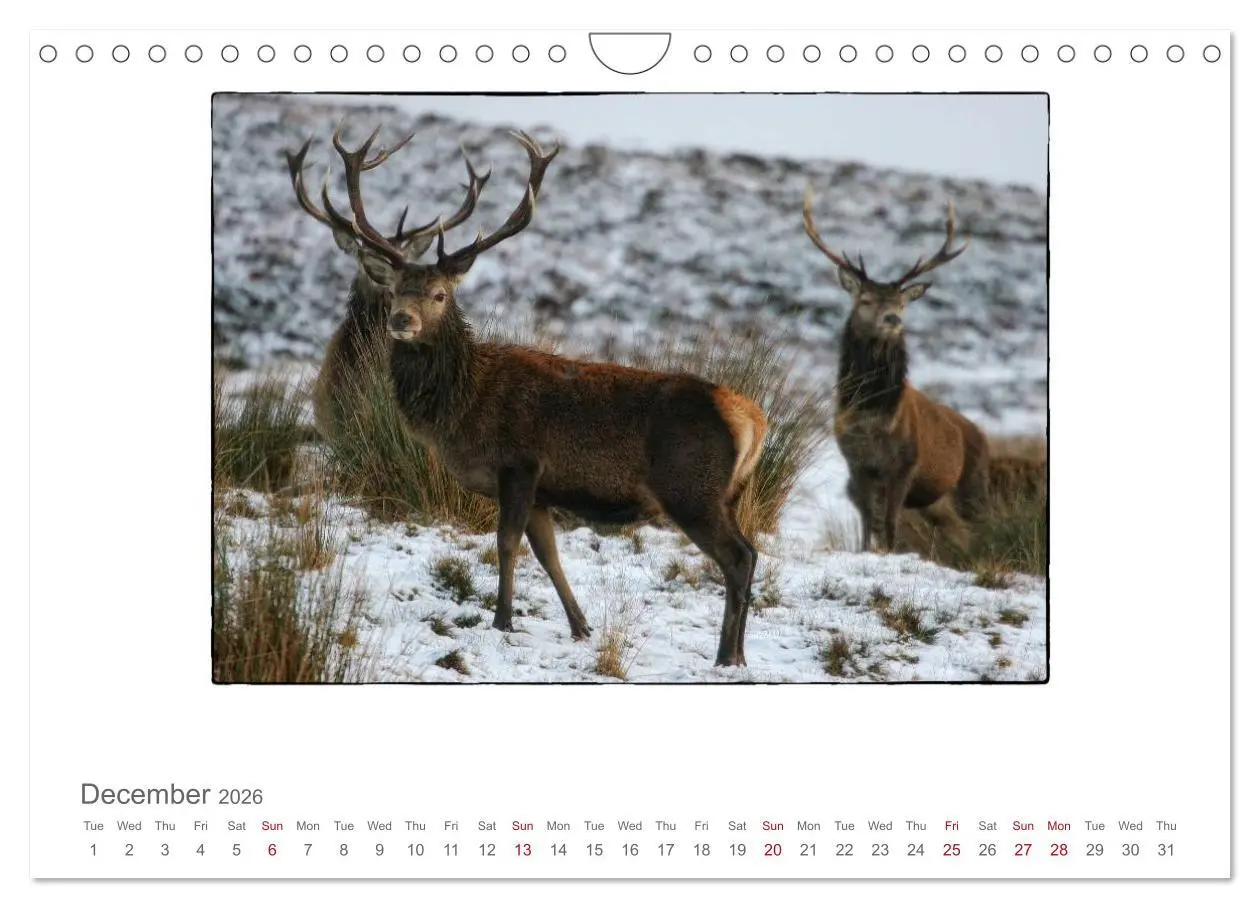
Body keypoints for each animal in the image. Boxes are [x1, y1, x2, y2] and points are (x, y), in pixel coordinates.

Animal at [311, 124, 769, 667]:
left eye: (440, 294)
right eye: (398, 288)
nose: (401, 320)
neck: (462, 408)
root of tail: (752, 418)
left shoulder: (519, 463)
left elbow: (506, 543)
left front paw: (502, 621)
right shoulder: (543, 488)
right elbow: (548, 553)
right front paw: (580, 626)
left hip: (691, 489)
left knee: (739, 557)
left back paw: (727, 657)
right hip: (728, 495)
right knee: (751, 552)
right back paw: (738, 655)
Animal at [802, 188, 990, 553]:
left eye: (901, 304)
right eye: (865, 300)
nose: (893, 319)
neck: (872, 416)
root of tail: (984, 437)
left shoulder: (905, 464)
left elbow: (889, 525)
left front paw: (888, 553)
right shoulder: (857, 464)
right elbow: (866, 525)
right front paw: (865, 552)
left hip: (974, 488)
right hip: (937, 504)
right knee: (959, 534)